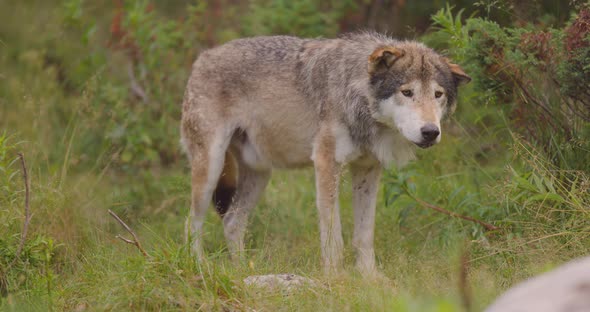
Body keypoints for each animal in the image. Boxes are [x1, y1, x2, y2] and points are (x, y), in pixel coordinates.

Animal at [180, 32, 472, 276]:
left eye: (438, 94)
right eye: (407, 92)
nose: (430, 132)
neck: (358, 97)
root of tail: (203, 57)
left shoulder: (367, 169)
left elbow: (364, 234)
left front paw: (370, 279)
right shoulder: (326, 163)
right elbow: (334, 236)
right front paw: (335, 277)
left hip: (260, 174)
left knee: (232, 221)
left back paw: (241, 271)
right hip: (211, 169)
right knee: (191, 223)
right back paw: (199, 267)